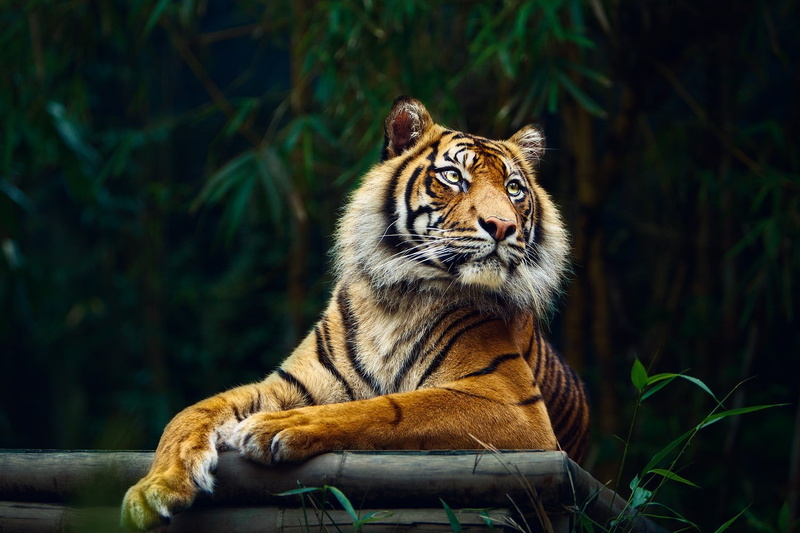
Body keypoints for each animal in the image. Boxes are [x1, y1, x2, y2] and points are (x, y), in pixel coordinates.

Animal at [121, 96, 590, 531]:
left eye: (513, 188)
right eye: (454, 176)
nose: (502, 226)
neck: (398, 299)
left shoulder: (513, 404)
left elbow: (391, 407)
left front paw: (273, 426)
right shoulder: (289, 383)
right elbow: (190, 412)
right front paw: (152, 490)